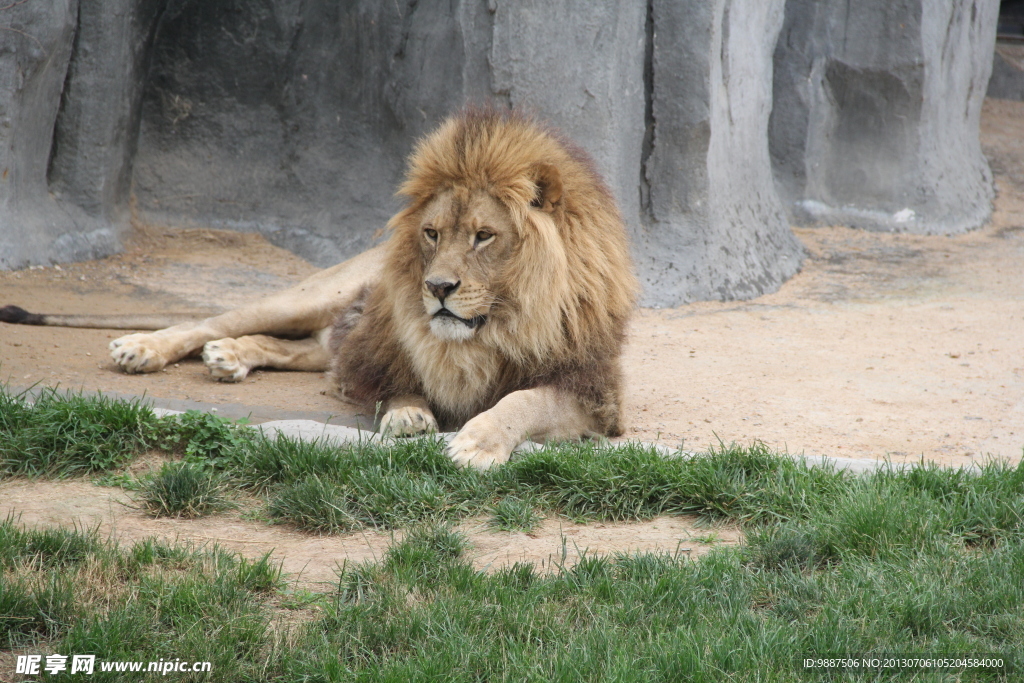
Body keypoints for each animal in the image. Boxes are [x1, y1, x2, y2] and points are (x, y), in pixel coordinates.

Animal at [0, 109, 634, 471]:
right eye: (432, 233)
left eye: (484, 236)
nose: (436, 287)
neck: (499, 324)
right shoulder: (387, 346)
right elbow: (400, 383)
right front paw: (409, 415)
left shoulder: (590, 392)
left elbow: (522, 400)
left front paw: (477, 441)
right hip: (315, 295)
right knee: (215, 321)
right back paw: (146, 348)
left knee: (302, 350)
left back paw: (231, 358)